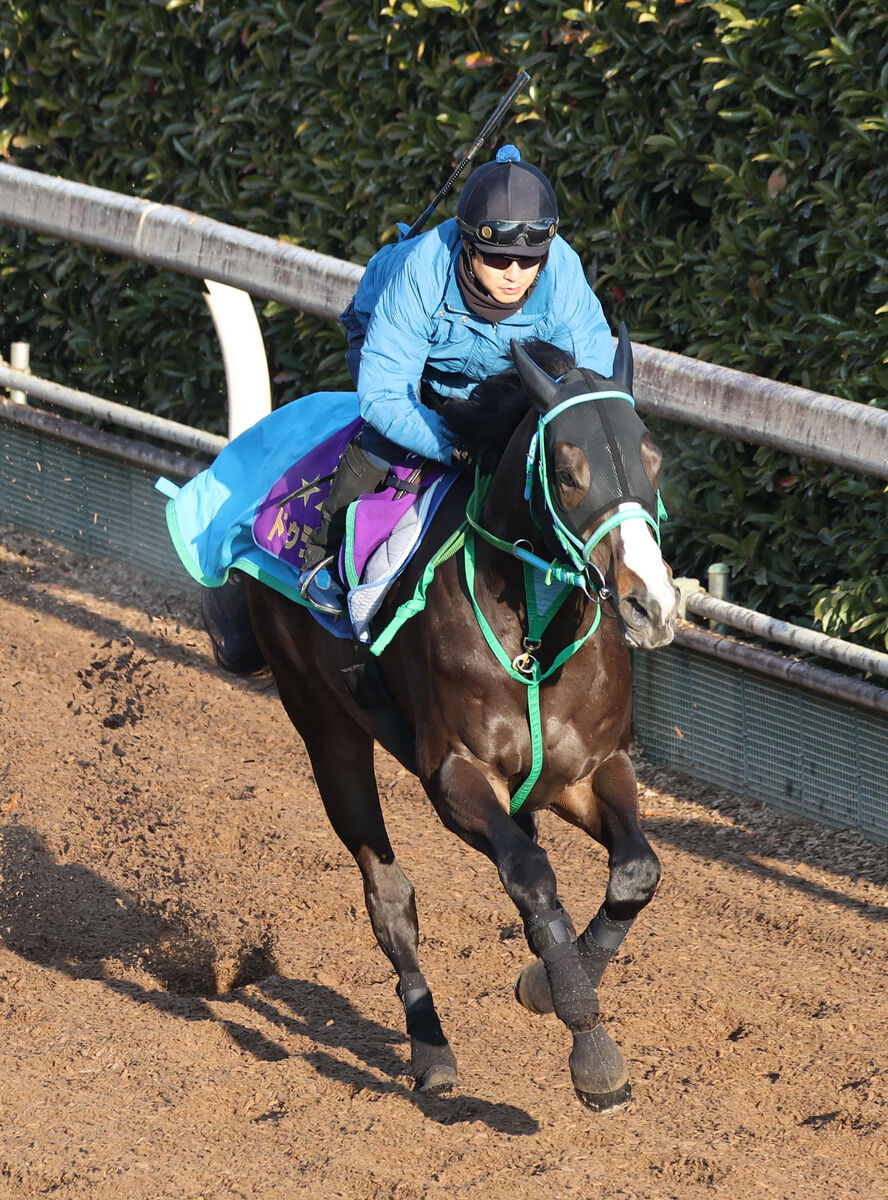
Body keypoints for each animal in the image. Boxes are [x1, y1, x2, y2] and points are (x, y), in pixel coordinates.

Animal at [205, 324, 676, 1108]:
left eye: (652, 458)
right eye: (567, 472)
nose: (651, 605)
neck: (534, 631)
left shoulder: (587, 769)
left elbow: (637, 871)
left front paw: (546, 985)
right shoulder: (454, 773)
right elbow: (531, 877)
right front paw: (592, 1050)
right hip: (326, 730)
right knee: (389, 896)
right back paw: (432, 1055)